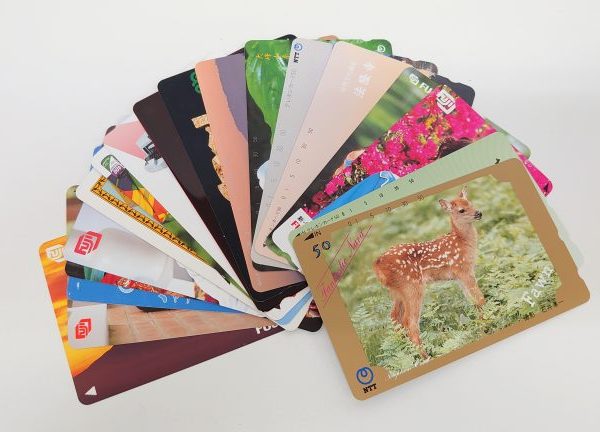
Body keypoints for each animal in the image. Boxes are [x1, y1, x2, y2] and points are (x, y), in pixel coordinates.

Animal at [373, 186, 484, 358]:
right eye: (461, 210)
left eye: (470, 203)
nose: (479, 213)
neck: (462, 242)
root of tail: (378, 266)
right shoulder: (463, 269)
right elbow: (479, 298)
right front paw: (488, 321)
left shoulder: (459, 276)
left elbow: (472, 300)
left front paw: (481, 323)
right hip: (412, 287)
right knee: (409, 322)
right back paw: (425, 356)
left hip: (397, 291)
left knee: (394, 317)